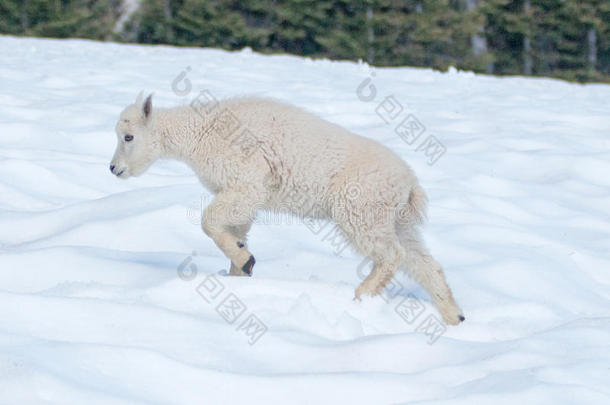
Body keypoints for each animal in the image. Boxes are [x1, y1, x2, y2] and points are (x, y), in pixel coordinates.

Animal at [109, 92, 464, 326]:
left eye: (128, 136)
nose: (114, 168)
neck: (200, 133)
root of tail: (410, 185)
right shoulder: (238, 192)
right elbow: (236, 229)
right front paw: (241, 268)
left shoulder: (247, 181)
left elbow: (209, 220)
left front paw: (244, 260)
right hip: (393, 219)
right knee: (423, 262)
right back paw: (454, 316)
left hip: (360, 207)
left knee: (392, 254)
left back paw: (362, 295)